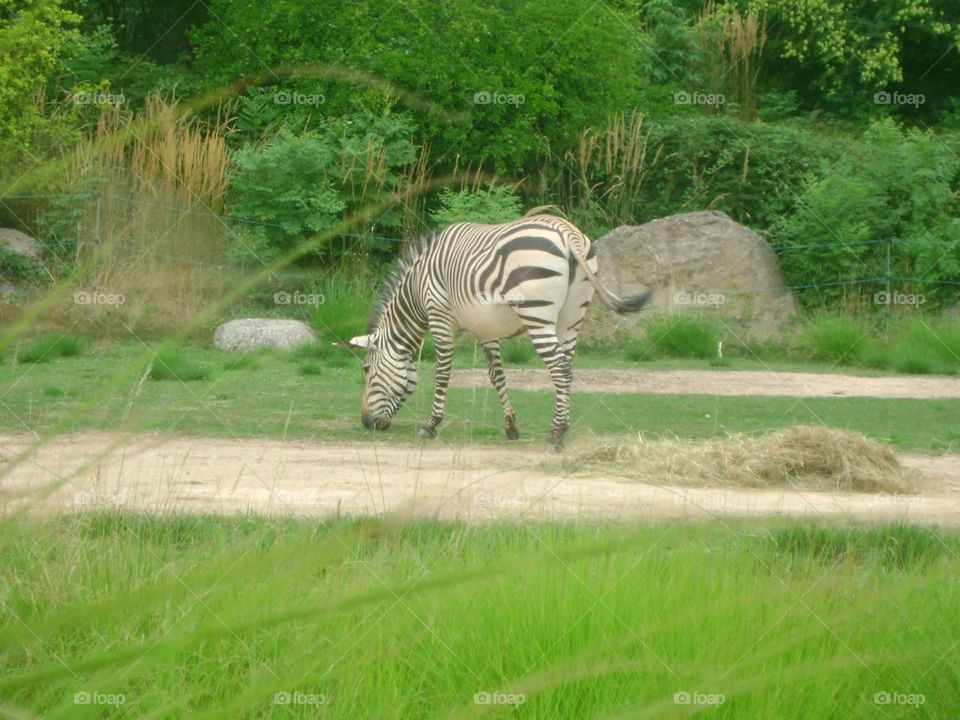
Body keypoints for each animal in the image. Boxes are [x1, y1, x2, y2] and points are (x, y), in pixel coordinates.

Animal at [342, 213, 651, 450]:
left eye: (367, 369)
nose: (367, 423)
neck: (417, 288)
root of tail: (566, 231)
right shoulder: (485, 327)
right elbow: (497, 375)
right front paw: (511, 426)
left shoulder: (439, 316)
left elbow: (442, 373)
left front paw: (430, 426)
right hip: (571, 317)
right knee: (567, 367)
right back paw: (563, 430)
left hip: (537, 314)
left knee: (560, 370)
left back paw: (556, 436)